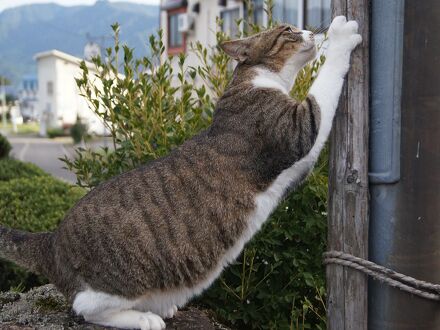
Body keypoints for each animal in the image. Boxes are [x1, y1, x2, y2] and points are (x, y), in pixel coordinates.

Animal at [0, 16, 360, 328]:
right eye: (288, 30)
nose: (311, 31)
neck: (256, 79)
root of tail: (52, 239)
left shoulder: (300, 164)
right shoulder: (297, 130)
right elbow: (323, 90)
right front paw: (340, 36)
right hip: (123, 277)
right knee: (86, 306)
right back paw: (143, 318)